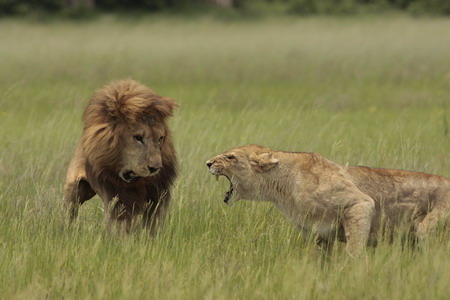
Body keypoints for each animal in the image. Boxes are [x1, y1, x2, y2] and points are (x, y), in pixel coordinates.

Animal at [64, 78, 178, 233]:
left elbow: (152, 225)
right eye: (138, 138)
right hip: (73, 189)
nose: (155, 168)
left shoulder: (157, 196)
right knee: (69, 212)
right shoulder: (117, 197)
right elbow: (120, 225)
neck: (136, 182)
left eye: (160, 139)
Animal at [207, 145, 450, 255]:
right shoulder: (317, 234)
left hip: (426, 229)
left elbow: (354, 248)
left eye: (230, 157)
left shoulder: (361, 203)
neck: (282, 188)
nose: (208, 162)